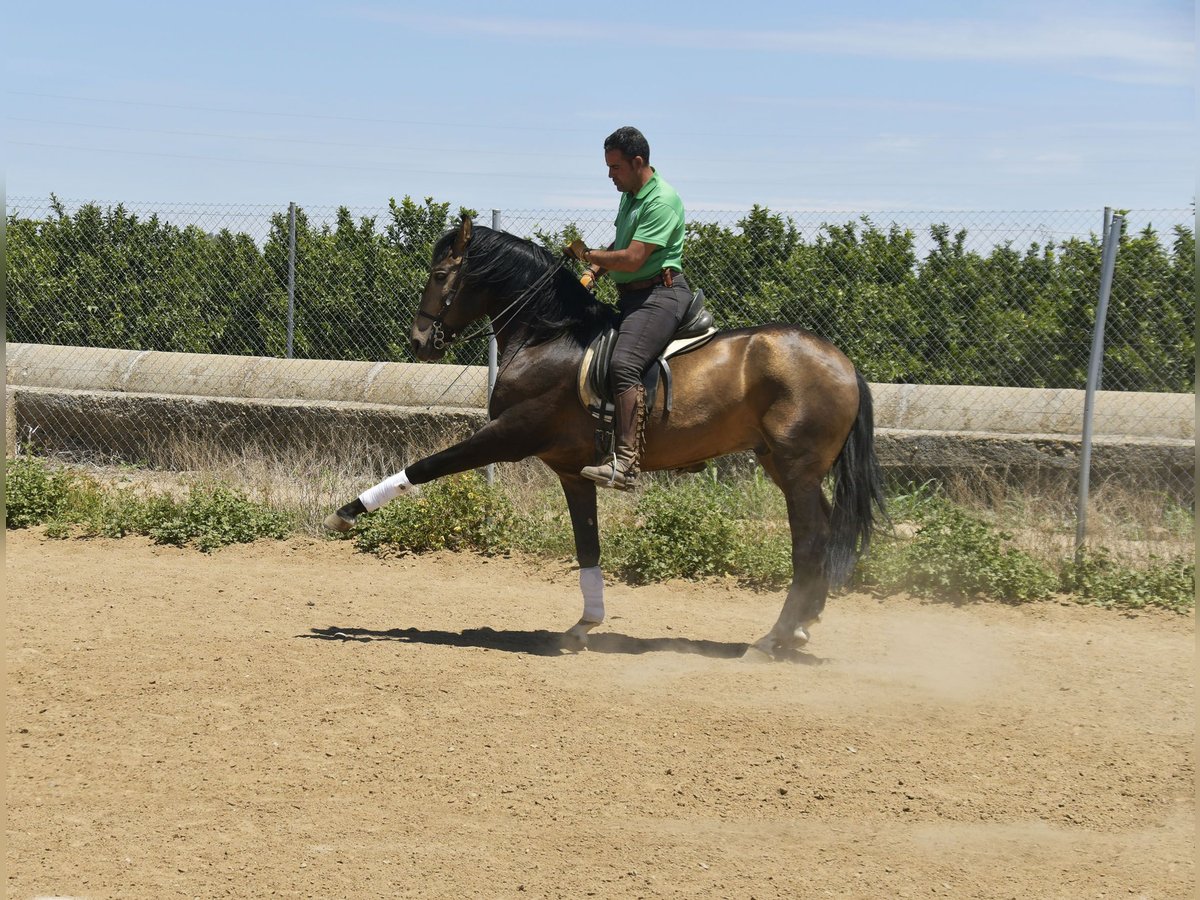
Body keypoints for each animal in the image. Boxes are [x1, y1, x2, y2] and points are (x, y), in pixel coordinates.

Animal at [324, 214, 888, 657]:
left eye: (441, 274)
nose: (420, 341)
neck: (548, 336)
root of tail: (842, 363)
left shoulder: (509, 435)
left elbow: (426, 465)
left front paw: (347, 512)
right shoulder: (571, 470)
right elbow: (587, 544)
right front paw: (585, 625)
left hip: (796, 468)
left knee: (809, 543)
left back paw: (773, 638)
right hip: (783, 464)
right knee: (824, 533)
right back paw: (801, 627)